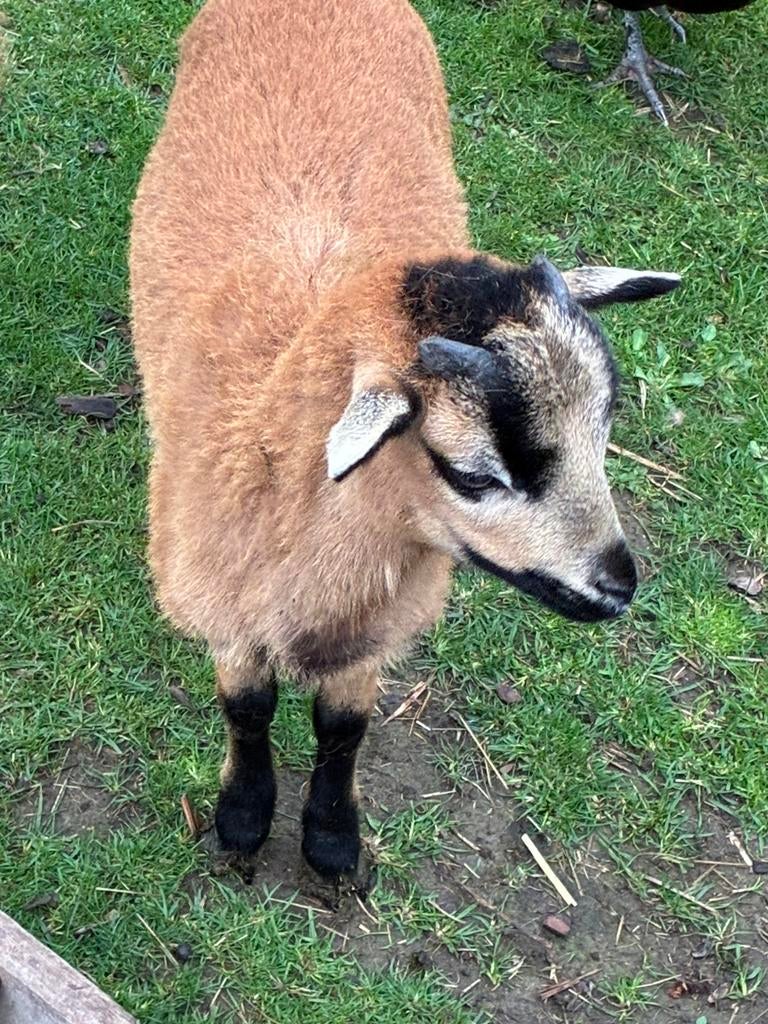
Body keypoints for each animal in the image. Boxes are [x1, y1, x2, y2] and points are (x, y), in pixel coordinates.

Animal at [130, 0, 681, 879]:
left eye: (605, 432)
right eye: (474, 474)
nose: (617, 587)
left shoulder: (378, 624)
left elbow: (341, 726)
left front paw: (330, 840)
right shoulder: (223, 601)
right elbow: (247, 708)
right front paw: (244, 821)